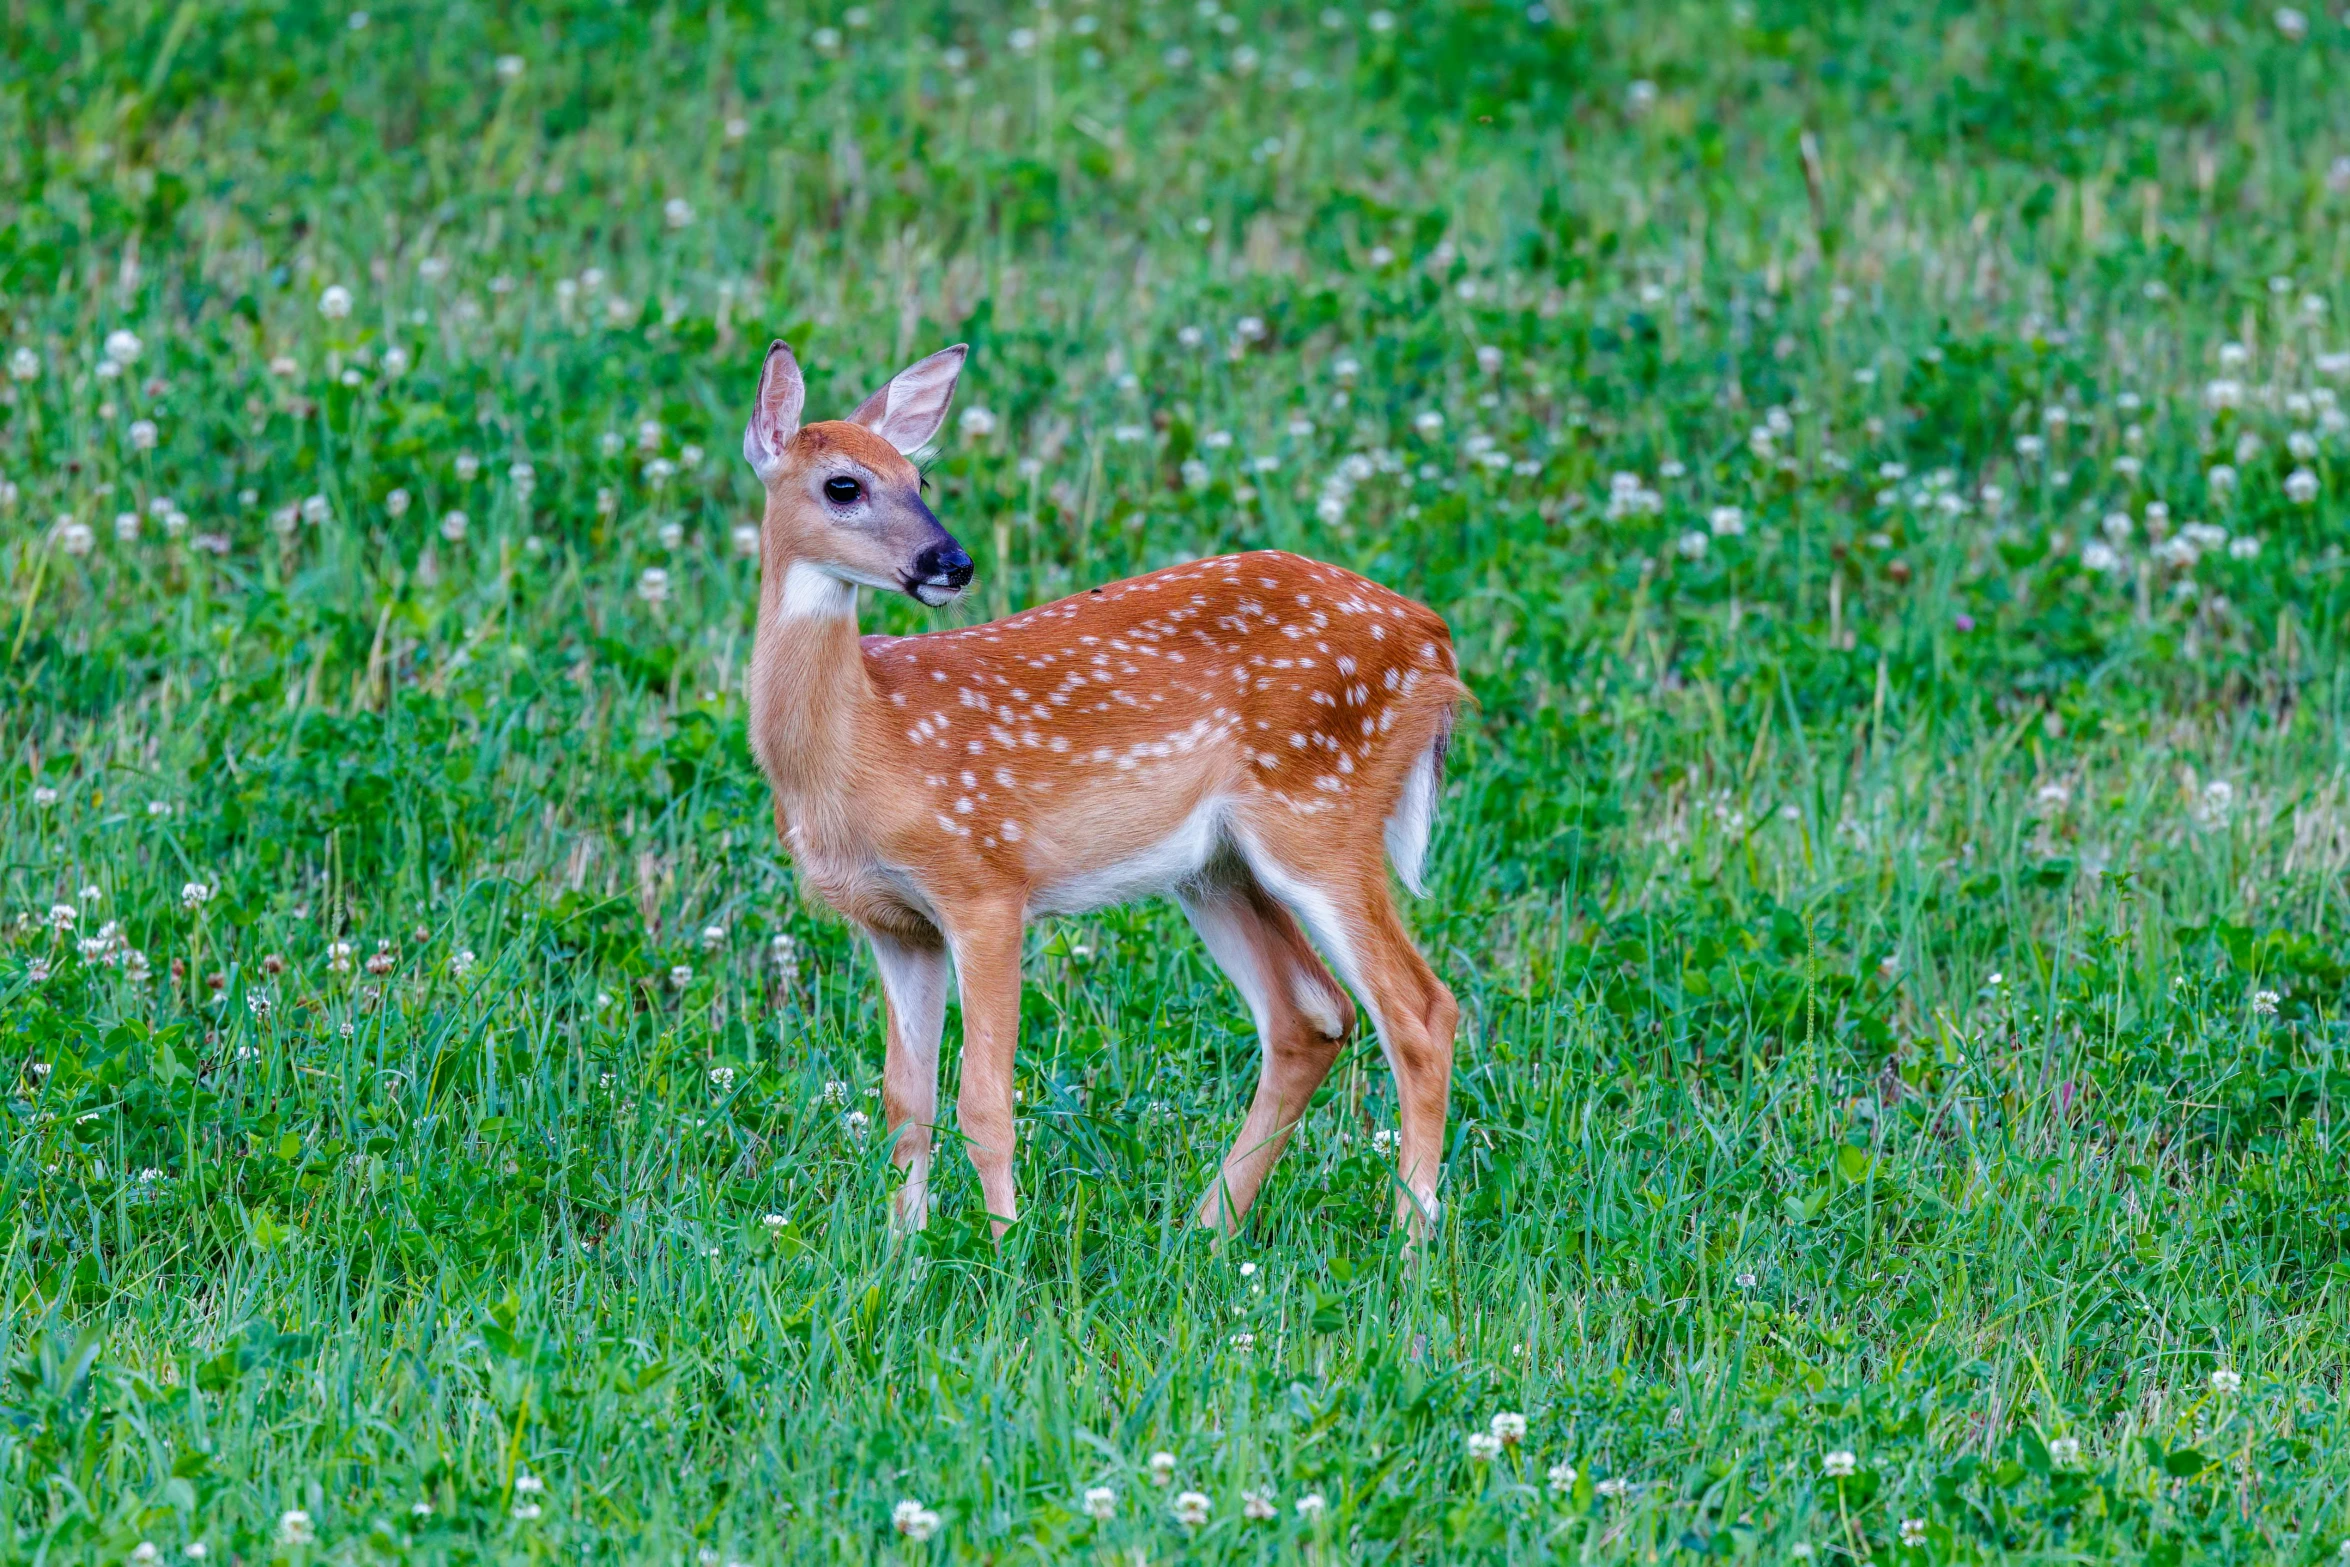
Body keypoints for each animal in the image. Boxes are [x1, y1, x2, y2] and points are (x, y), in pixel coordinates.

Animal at [742, 343, 1457, 1240]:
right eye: (844, 485)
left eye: (919, 477)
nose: (952, 564)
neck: (867, 743)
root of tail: (1435, 641)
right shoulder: (895, 923)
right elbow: (907, 1100)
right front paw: (902, 1247)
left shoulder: (986, 881)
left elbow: (984, 1101)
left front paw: (1005, 1246)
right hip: (1217, 866)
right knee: (1311, 1016)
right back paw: (1207, 1230)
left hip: (1323, 809)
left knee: (1421, 1013)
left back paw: (1410, 1239)